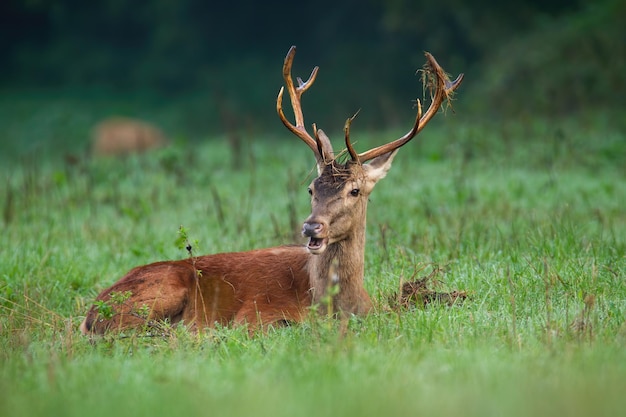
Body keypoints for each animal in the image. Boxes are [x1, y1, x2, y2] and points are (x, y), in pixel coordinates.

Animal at [79, 45, 464, 334]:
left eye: (355, 191)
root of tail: (91, 313)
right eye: (311, 188)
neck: (337, 305)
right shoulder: (254, 314)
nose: (311, 227)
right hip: (158, 294)